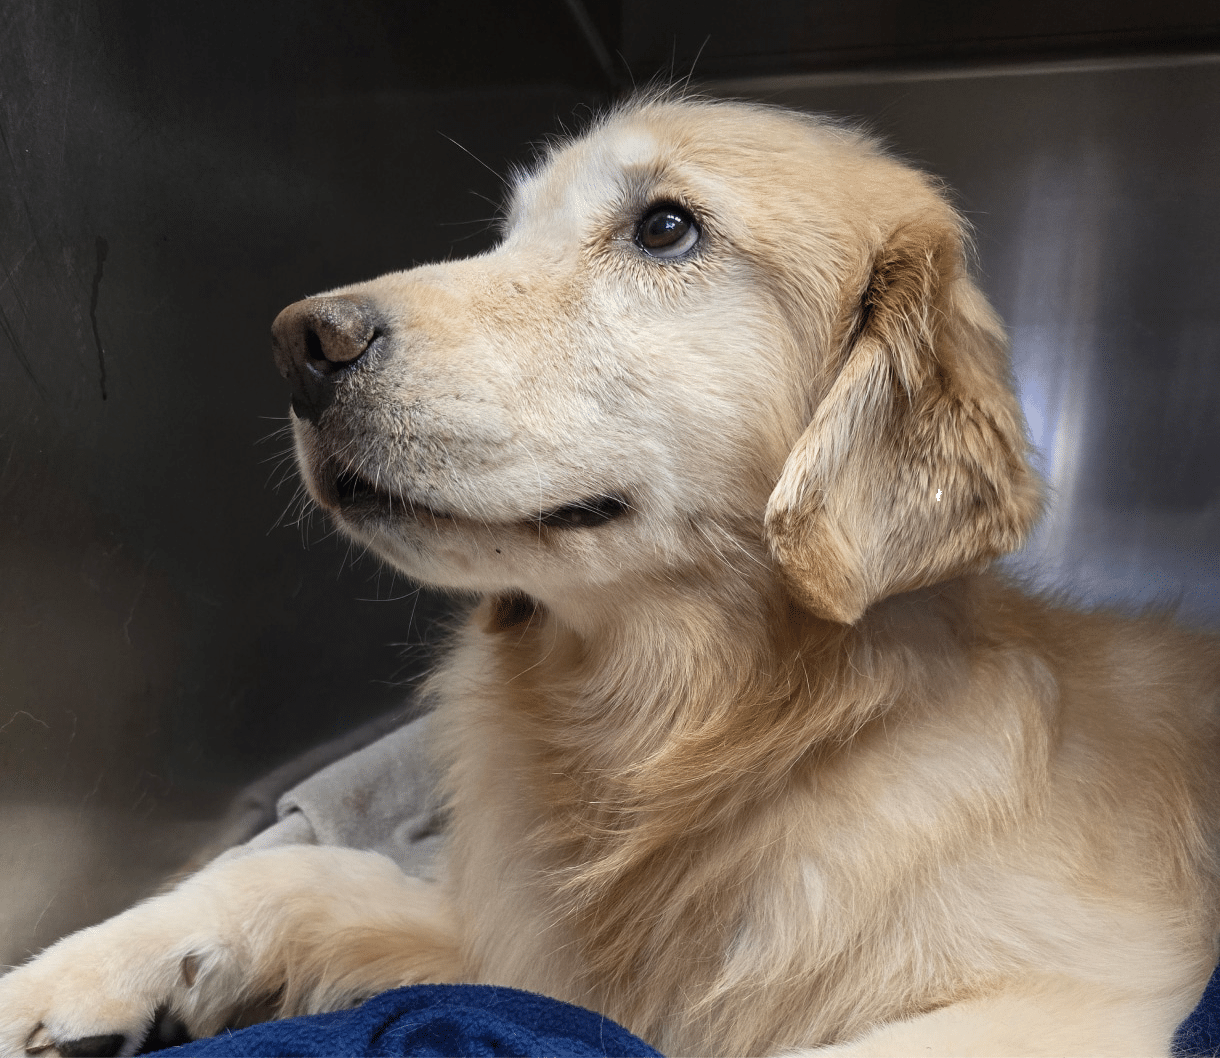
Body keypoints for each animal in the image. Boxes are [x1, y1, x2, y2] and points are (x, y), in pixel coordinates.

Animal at [2, 93, 1220, 1058]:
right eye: (504, 236)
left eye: (665, 227)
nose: (302, 343)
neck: (703, 733)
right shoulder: (517, 940)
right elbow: (287, 870)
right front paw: (67, 975)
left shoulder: (1078, 995)